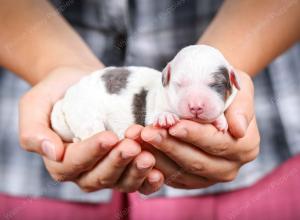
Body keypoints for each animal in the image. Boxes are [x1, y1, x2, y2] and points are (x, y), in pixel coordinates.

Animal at [51, 45, 239, 142]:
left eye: (216, 85)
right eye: (179, 84)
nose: (196, 107)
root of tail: (66, 99)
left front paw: (221, 121)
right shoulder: (154, 107)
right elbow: (155, 115)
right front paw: (165, 117)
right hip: (86, 115)